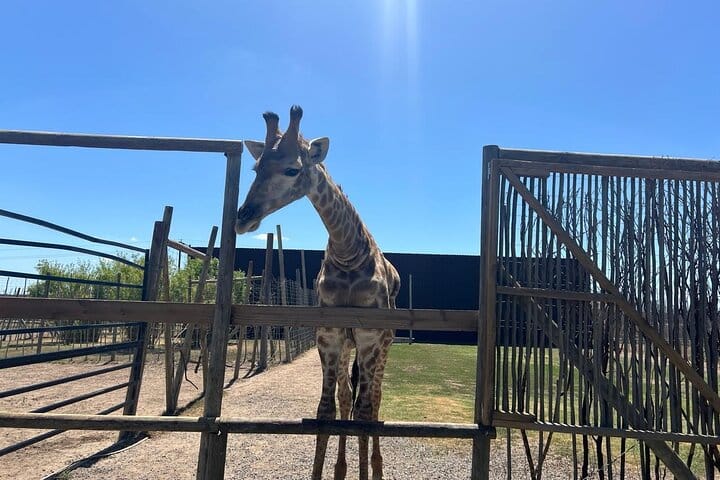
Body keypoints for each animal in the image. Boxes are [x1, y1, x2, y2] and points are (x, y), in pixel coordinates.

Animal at [235, 105, 400, 480]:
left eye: (292, 168)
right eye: (256, 167)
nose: (243, 218)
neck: (348, 251)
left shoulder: (369, 336)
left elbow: (365, 413)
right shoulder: (329, 334)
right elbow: (326, 410)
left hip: (384, 346)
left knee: (374, 400)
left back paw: (377, 467)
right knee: (347, 397)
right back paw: (341, 468)